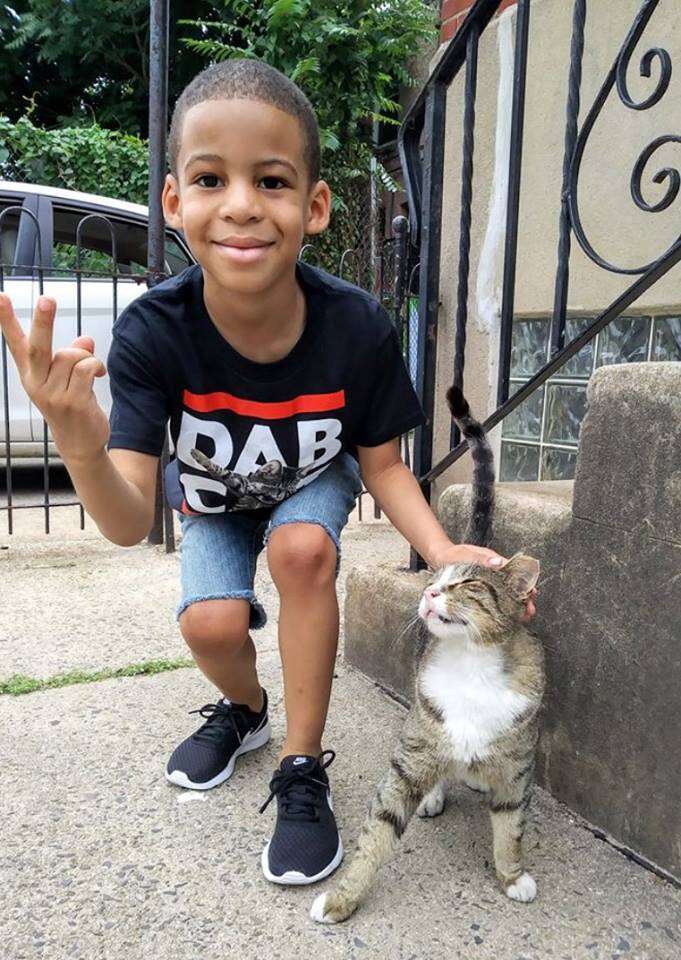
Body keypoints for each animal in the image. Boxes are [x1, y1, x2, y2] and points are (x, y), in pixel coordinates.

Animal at [310, 384, 544, 924]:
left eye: (467, 584)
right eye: (435, 577)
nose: (430, 593)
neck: (470, 667)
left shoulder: (519, 767)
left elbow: (511, 827)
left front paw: (512, 876)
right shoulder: (409, 758)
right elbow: (377, 831)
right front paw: (341, 897)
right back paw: (436, 791)